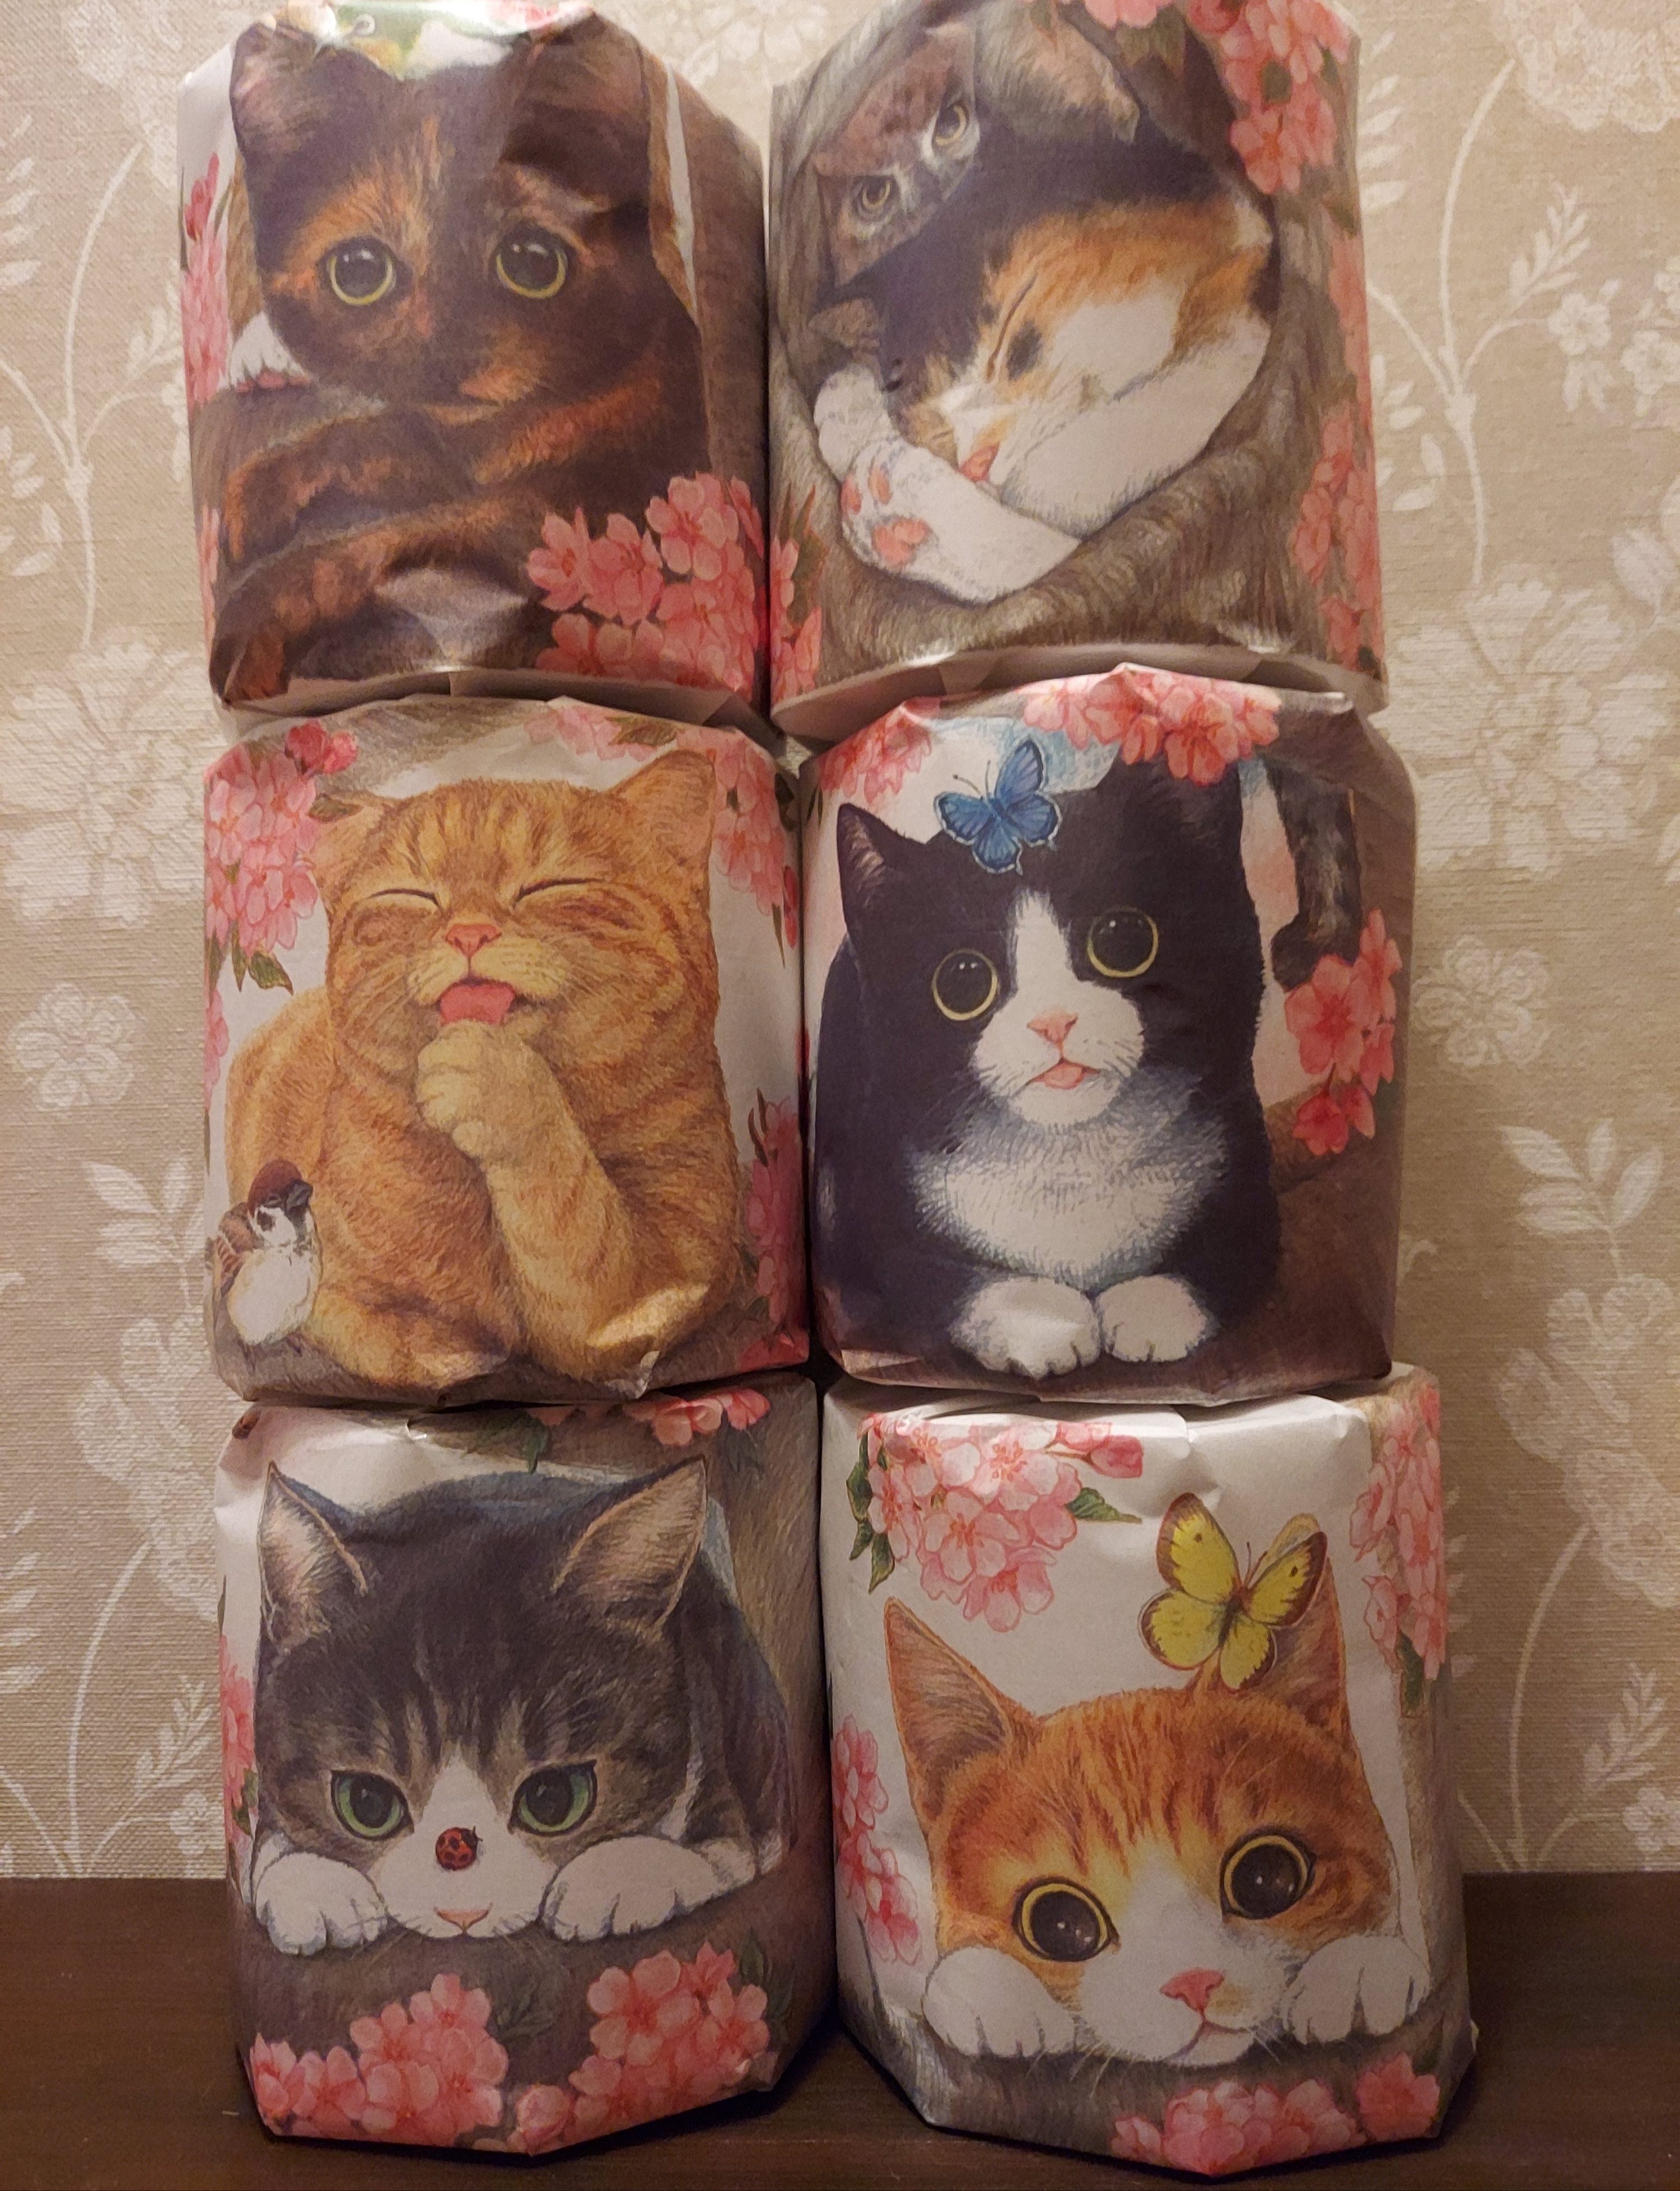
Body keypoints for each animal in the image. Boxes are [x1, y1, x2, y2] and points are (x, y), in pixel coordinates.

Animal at [202, 14, 711, 699]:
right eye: (357, 272)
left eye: (533, 263)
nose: (450, 354)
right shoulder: (445, 449)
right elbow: (365, 435)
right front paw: (265, 485)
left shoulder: (580, 504)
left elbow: (380, 540)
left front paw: (257, 616)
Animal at [223, 753, 741, 1395]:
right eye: (415, 896)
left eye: (551, 886)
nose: (468, 933)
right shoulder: (323, 1288)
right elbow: (380, 1335)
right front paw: (447, 1353)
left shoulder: (656, 1286)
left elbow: (577, 1225)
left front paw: (498, 1083)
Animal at [249, 1459, 793, 1956]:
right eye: (367, 1802)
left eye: (552, 1799)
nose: (462, 1910)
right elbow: (270, 1848)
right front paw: (313, 1887)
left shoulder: (723, 1792)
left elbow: (718, 1851)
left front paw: (614, 1878)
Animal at [813, 748, 1280, 1380]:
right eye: (963, 981)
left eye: (1125, 938)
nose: (1054, 1021)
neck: (1070, 1156)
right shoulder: (874, 1191)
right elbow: (930, 1278)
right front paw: (1045, 1322)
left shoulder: (1242, 1146)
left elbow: (1239, 1246)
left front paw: (1150, 1305)